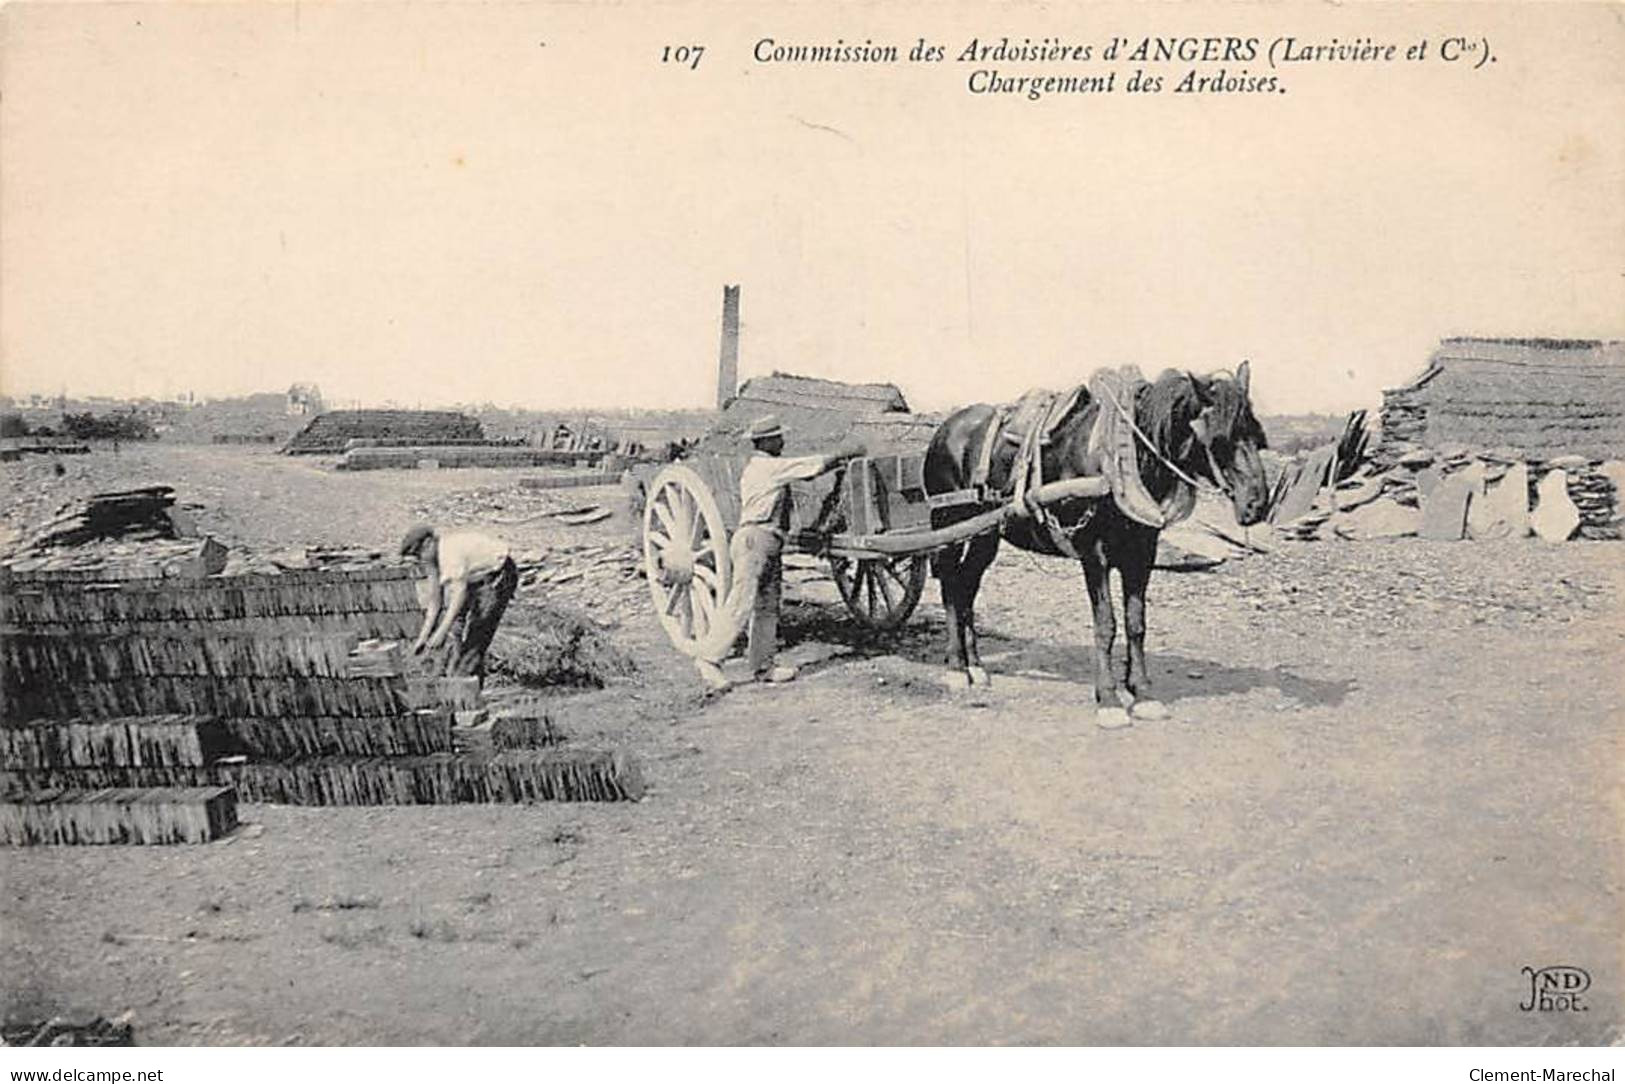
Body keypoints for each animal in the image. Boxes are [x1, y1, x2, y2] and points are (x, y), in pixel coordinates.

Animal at [923, 362, 1274, 728]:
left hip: (984, 534)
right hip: (947, 523)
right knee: (951, 587)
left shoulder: (1141, 553)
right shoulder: (1094, 554)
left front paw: (1142, 692)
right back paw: (957, 668)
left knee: (966, 587)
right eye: (1218, 440)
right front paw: (1108, 699)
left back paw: (975, 666)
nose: (1258, 504)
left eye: (1257, 437)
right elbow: (1106, 624)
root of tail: (947, 427)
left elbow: (1136, 623)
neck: (1121, 457)